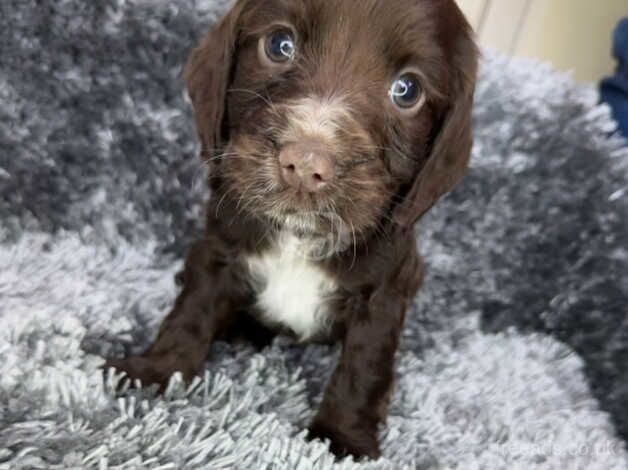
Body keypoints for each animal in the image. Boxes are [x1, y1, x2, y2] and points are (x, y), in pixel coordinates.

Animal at [105, 0, 478, 458]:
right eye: (280, 45)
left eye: (407, 90)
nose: (305, 164)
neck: (298, 237)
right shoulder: (219, 247)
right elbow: (191, 311)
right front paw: (159, 371)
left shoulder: (386, 291)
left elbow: (364, 366)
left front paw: (343, 437)